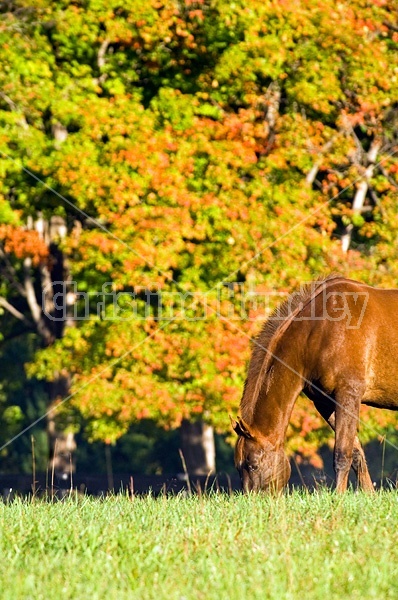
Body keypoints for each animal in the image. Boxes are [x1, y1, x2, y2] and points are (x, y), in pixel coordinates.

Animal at [232, 276, 398, 492]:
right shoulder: (326, 402)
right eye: (238, 467)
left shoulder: (348, 395)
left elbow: (342, 454)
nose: (252, 499)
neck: (321, 328)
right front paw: (368, 495)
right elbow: (356, 453)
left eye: (253, 465)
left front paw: (338, 496)